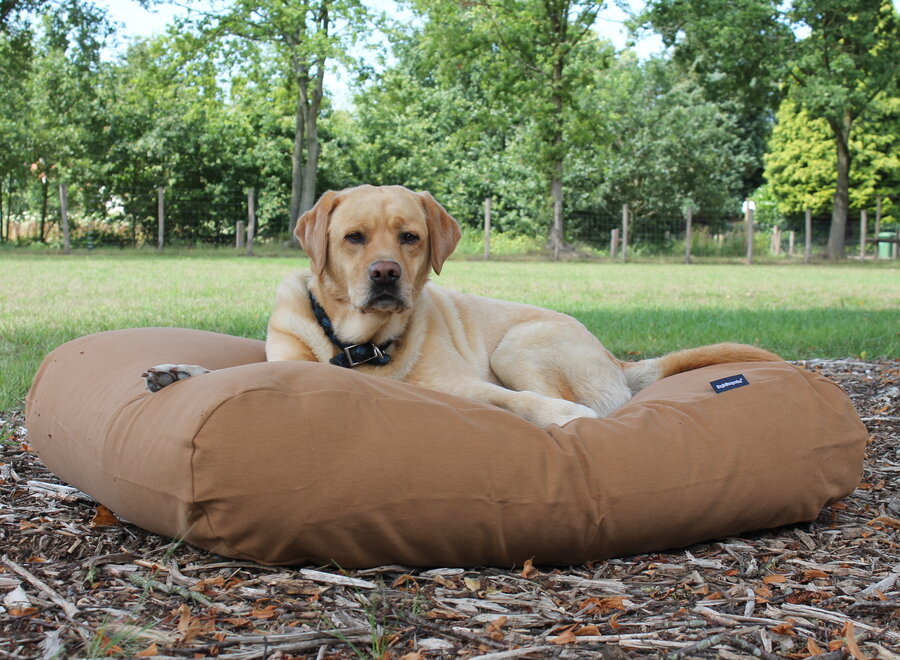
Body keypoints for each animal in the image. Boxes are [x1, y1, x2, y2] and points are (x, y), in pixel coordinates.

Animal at [146, 184, 780, 428]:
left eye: (409, 237)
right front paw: (176, 371)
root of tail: (617, 361)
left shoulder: (468, 384)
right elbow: (234, 369)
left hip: (517, 346)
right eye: (354, 238)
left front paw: (562, 418)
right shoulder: (287, 360)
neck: (362, 346)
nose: (385, 273)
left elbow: (517, 402)